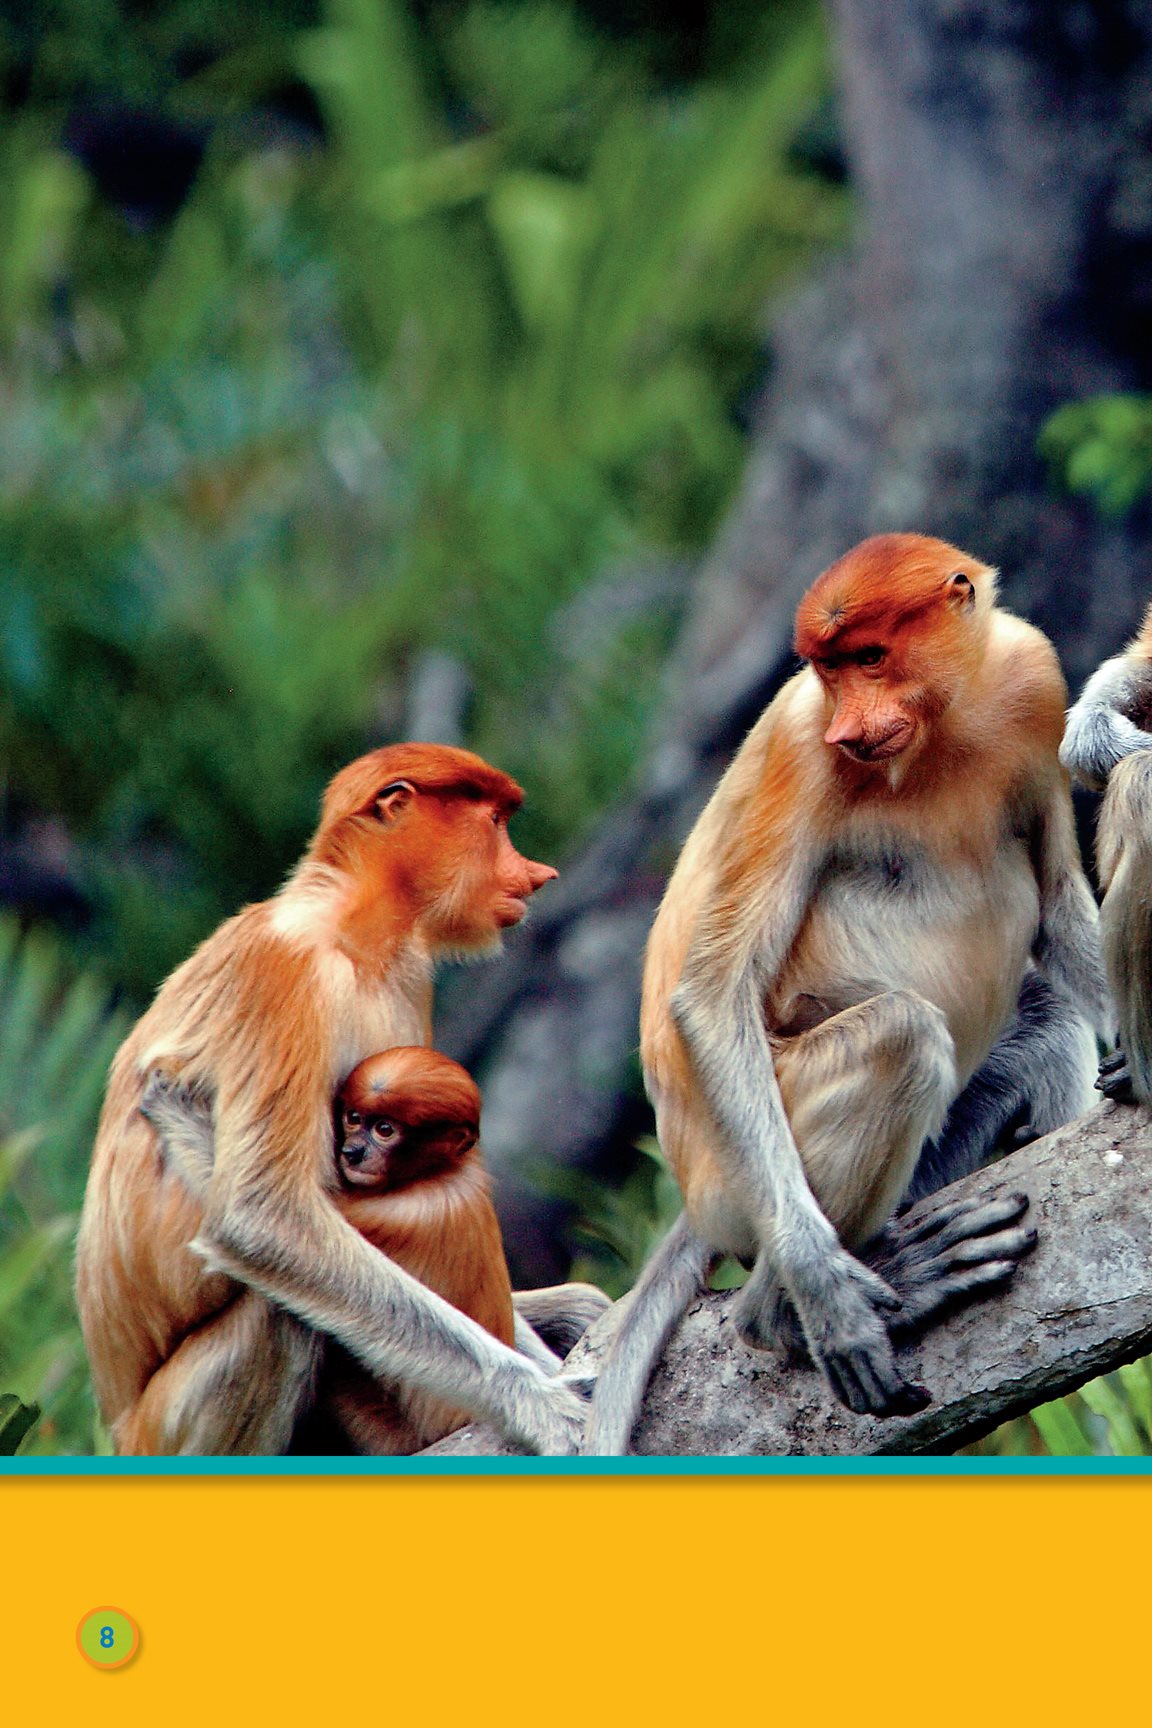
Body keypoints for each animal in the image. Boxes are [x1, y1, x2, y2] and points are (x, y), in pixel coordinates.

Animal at [75, 746, 604, 1458]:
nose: (538, 874)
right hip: (167, 1425)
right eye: (495, 821)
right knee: (280, 1314)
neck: (352, 932)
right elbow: (263, 1220)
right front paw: (544, 1404)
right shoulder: (286, 973)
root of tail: (117, 1423)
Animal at [587, 532, 1105, 1451]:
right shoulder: (803, 748)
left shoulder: (1034, 679)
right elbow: (713, 993)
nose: (851, 726)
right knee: (899, 1035)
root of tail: (696, 1198)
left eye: (870, 657)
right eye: (828, 671)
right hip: (739, 1172)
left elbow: (1055, 903)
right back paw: (782, 1313)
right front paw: (823, 1294)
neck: (943, 727)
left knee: (1045, 1009)